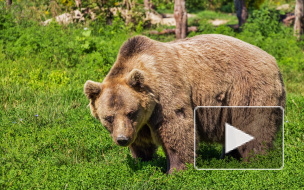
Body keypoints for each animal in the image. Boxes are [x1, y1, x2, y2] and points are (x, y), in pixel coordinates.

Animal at [83, 34, 284, 174]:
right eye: (108, 117)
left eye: (131, 112)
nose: (122, 139)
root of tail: (274, 61)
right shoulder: (141, 123)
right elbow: (141, 142)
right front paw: (143, 161)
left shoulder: (166, 93)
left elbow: (177, 129)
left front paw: (175, 170)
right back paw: (228, 158)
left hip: (246, 90)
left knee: (254, 127)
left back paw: (255, 160)